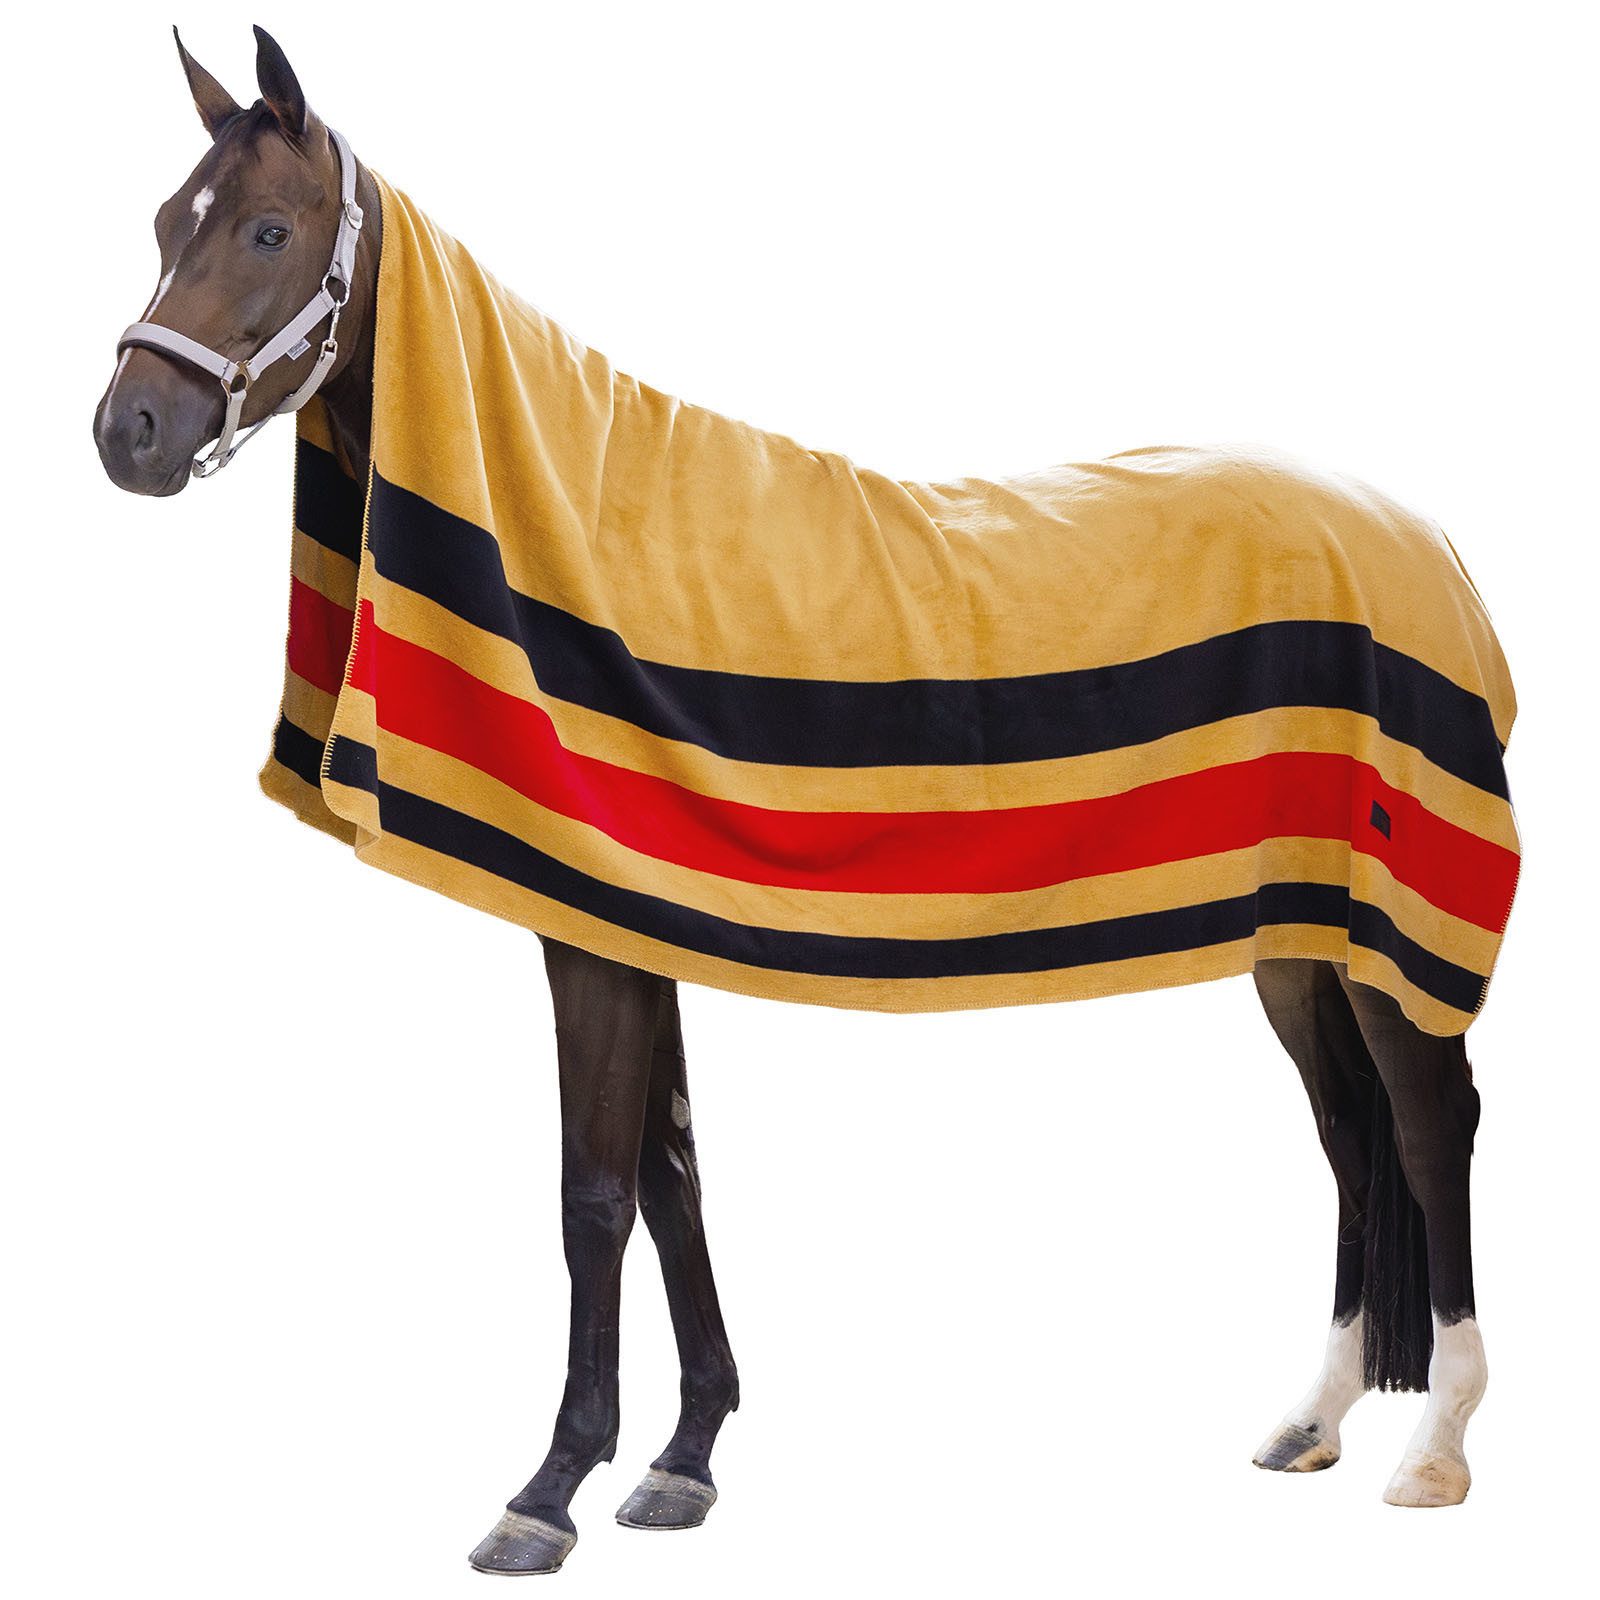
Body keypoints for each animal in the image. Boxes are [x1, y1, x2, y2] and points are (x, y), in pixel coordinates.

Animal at [93, 27, 1501, 1574]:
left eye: (267, 231)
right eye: (165, 225)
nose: (128, 432)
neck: (579, 524)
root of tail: (1423, 539)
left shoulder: (597, 943)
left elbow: (595, 1197)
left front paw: (547, 1489)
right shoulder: (628, 922)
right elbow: (673, 1178)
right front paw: (683, 1458)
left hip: (1396, 940)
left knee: (1428, 1129)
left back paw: (1435, 1449)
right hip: (1299, 946)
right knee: (1349, 1147)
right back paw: (1313, 1420)